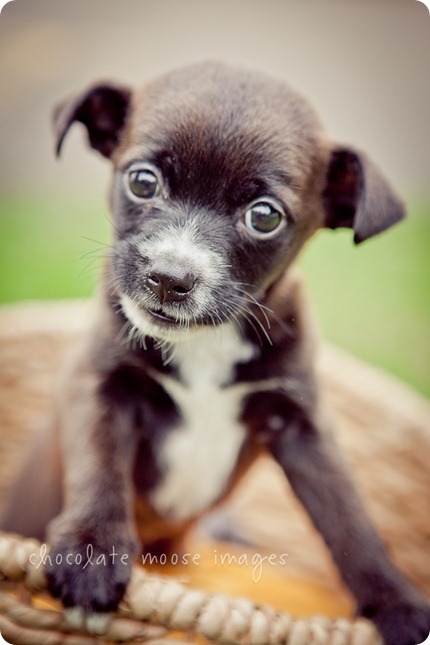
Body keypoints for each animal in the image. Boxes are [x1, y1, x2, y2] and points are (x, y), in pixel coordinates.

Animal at [1, 61, 428, 644]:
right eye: (142, 181)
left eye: (264, 217)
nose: (169, 278)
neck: (205, 344)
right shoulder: (100, 384)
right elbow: (98, 462)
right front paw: (92, 554)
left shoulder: (301, 425)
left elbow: (348, 519)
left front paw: (397, 605)